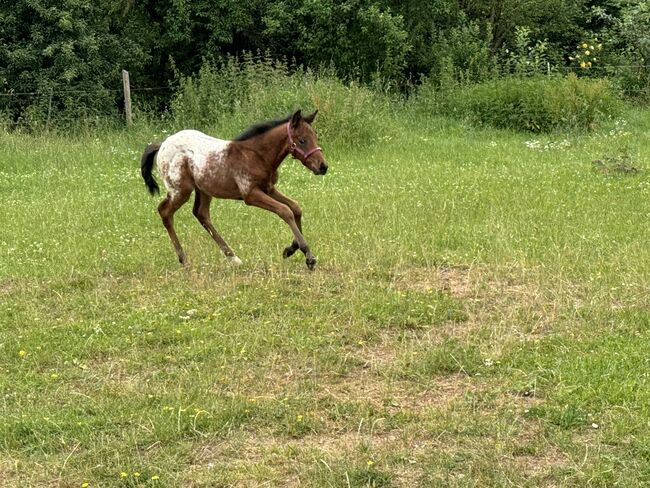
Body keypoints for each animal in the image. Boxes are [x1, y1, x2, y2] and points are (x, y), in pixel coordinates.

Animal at [140, 109, 326, 270]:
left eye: (315, 137)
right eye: (302, 140)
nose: (323, 167)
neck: (257, 156)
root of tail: (162, 144)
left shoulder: (269, 188)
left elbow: (295, 207)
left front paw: (291, 248)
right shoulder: (251, 194)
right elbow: (285, 211)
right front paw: (308, 255)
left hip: (204, 189)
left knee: (201, 213)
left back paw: (233, 258)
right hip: (180, 190)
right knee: (165, 211)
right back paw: (184, 260)